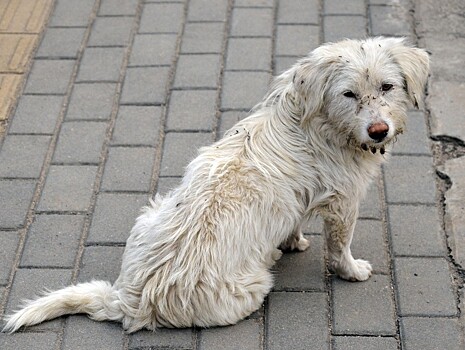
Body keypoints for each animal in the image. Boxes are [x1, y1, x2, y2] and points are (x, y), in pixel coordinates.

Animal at [3, 37, 428, 334]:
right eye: (349, 94)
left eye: (387, 87)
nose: (379, 131)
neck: (315, 121)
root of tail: (132, 302)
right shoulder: (345, 203)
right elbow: (340, 248)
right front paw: (351, 270)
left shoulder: (302, 199)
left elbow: (293, 220)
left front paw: (292, 241)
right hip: (254, 286)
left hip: (150, 211)